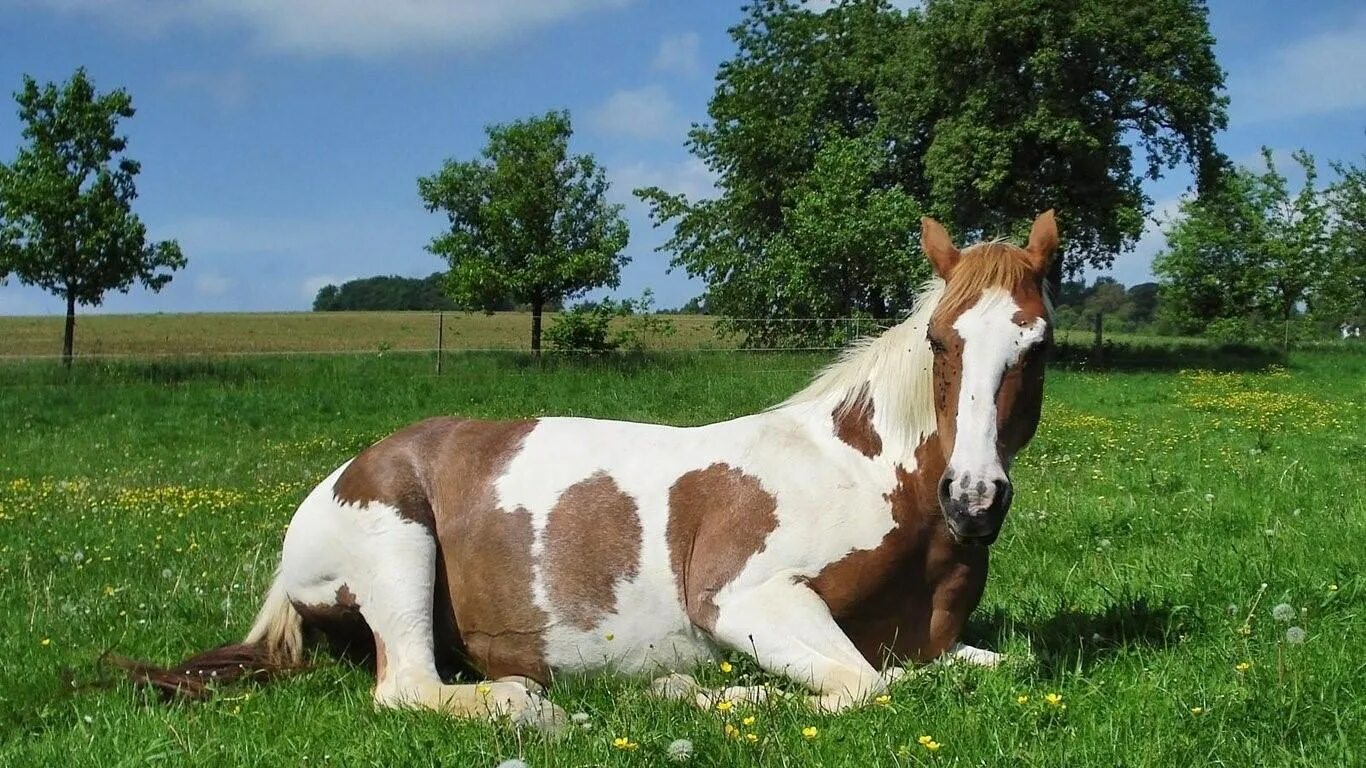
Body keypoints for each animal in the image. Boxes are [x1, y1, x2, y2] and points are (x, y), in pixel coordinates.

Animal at [130, 209, 1054, 727]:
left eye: (1038, 345)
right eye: (939, 340)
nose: (974, 501)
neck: (869, 478)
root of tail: (340, 478)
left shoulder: (931, 644)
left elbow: (985, 666)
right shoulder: (745, 598)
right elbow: (864, 687)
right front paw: (688, 693)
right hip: (398, 552)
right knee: (409, 689)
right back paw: (521, 702)